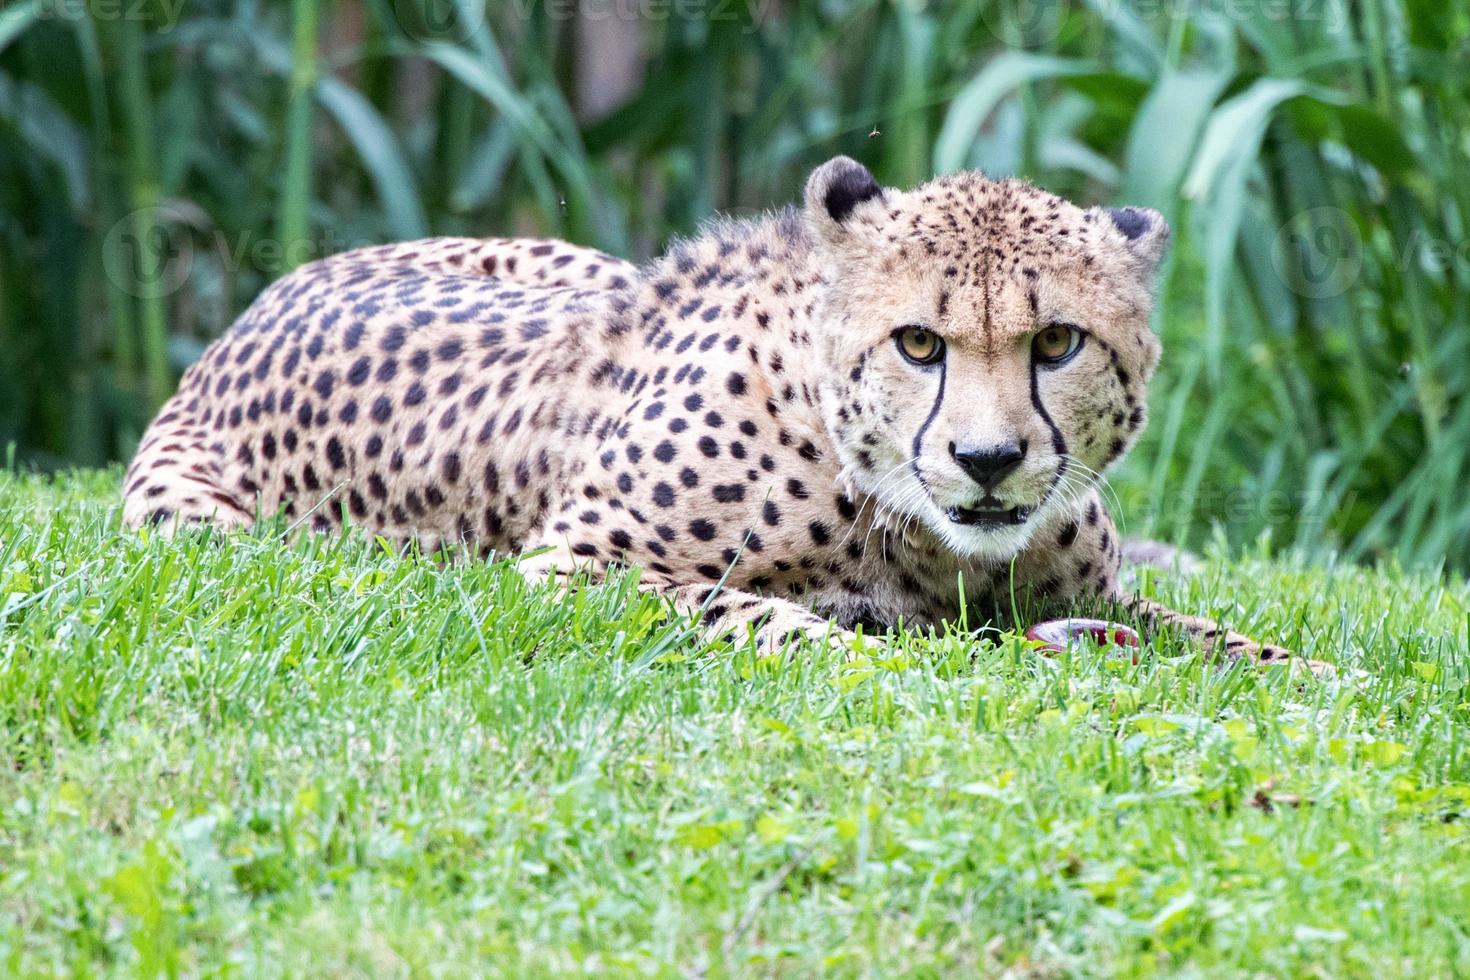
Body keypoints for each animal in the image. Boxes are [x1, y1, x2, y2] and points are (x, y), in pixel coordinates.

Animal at [123, 157, 1323, 669]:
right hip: (198, 525)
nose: (987, 460)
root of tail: (259, 300)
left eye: (1058, 343)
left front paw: (1320, 675)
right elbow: (763, 617)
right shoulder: (574, 566)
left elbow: (1229, 638)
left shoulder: (1098, 590)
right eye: (919, 343)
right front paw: (911, 658)